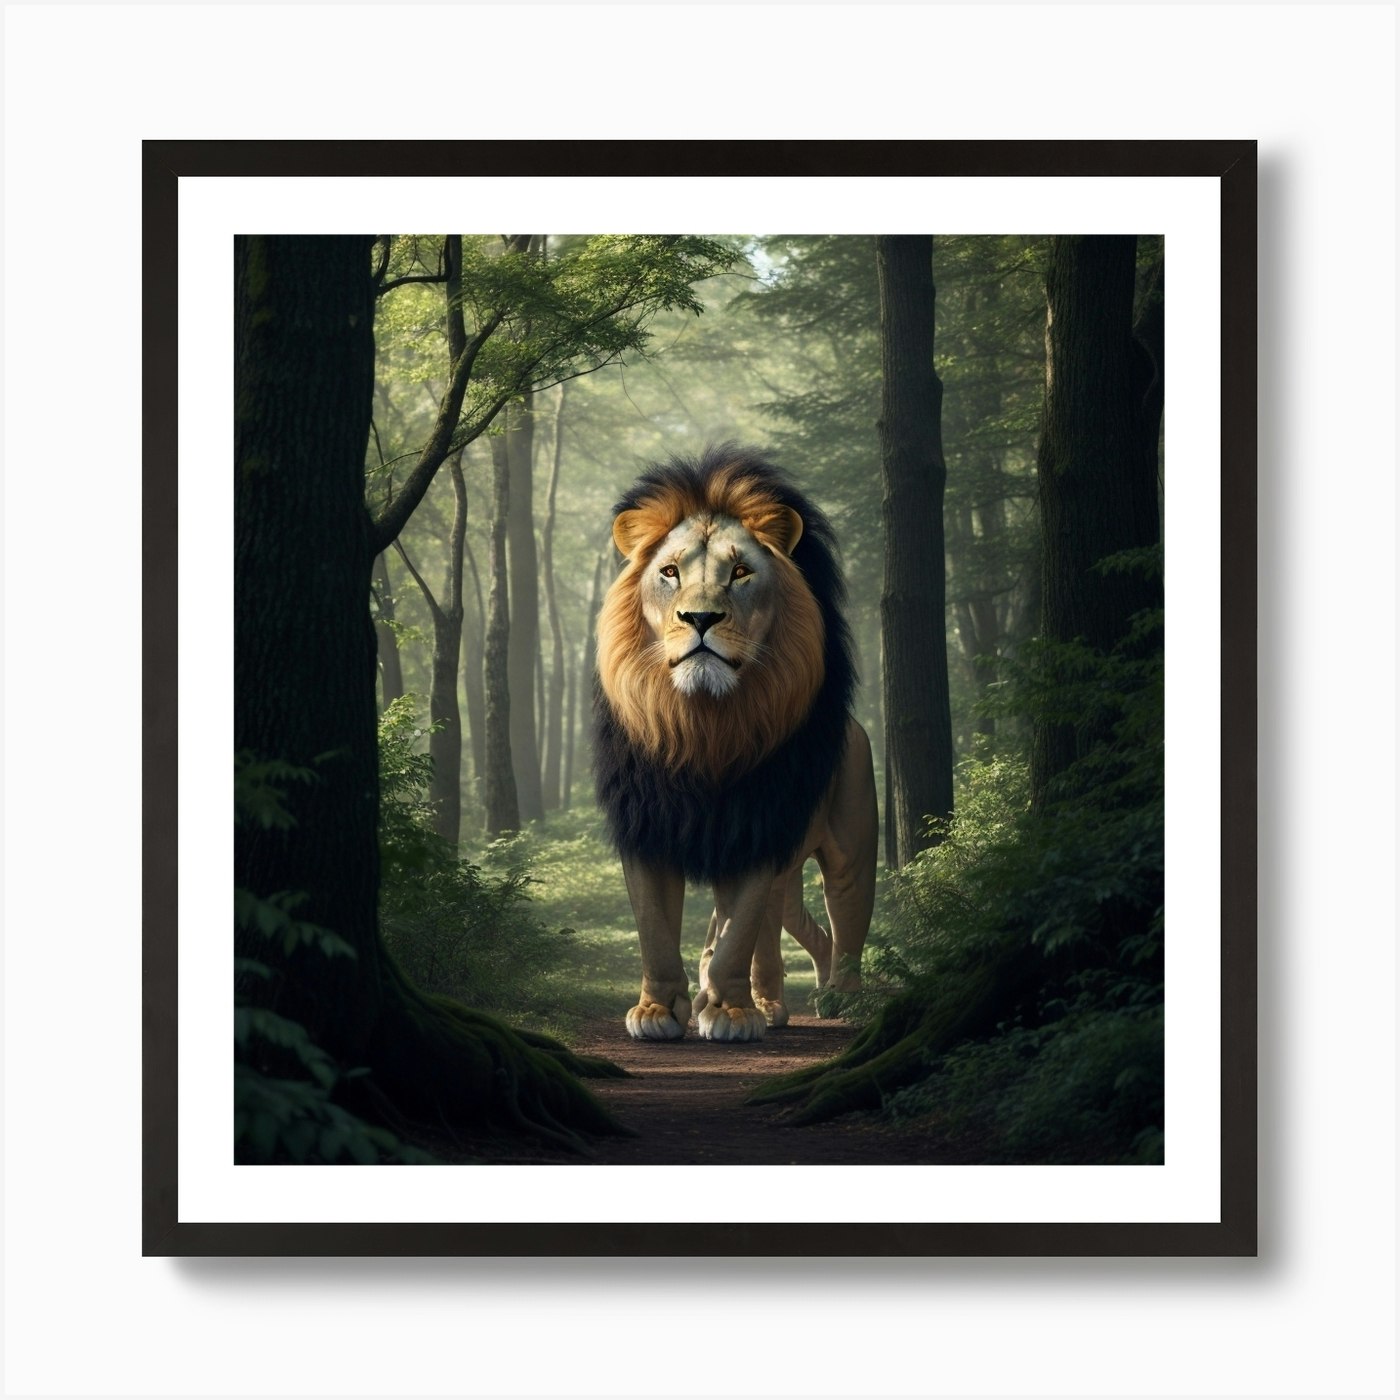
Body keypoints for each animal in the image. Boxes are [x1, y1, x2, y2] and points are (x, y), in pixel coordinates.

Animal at [593, 446, 878, 1042]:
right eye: (670, 572)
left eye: (741, 572)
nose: (700, 618)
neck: (703, 722)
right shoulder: (645, 825)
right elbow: (655, 930)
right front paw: (657, 1011)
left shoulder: (755, 824)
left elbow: (736, 935)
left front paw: (727, 1012)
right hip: (786, 876)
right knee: (791, 927)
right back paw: (770, 1004)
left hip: (850, 849)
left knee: (842, 921)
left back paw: (840, 998)